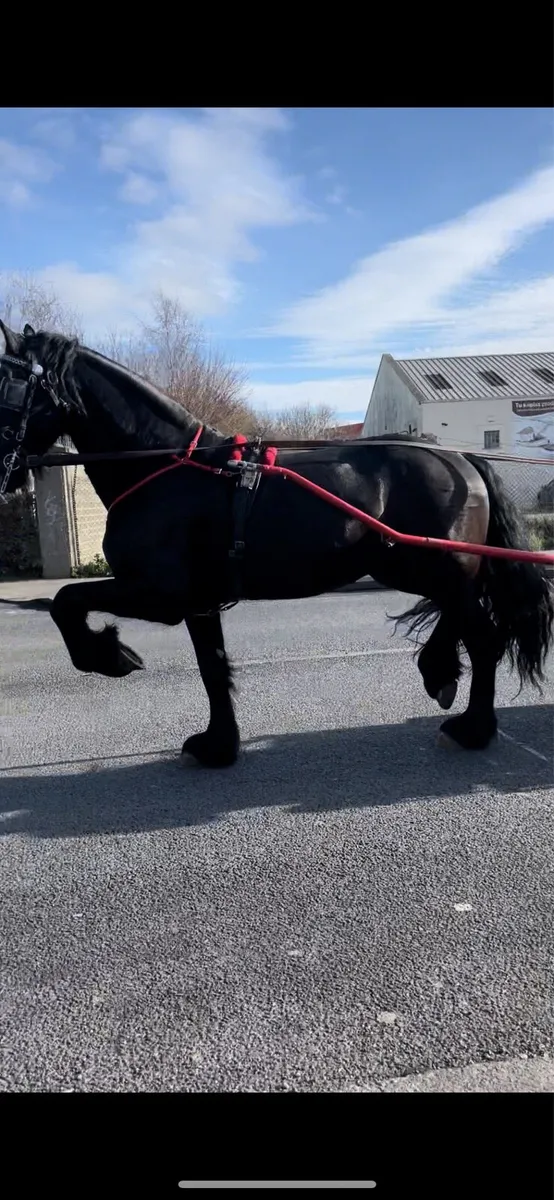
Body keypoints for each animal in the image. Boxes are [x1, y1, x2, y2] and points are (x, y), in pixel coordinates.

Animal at [1, 320, 552, 768]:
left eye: (8, 385)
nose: (4, 470)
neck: (166, 467)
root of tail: (459, 459)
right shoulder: (198, 602)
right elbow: (212, 666)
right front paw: (218, 745)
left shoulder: (160, 594)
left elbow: (65, 601)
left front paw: (109, 655)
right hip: (425, 570)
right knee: (463, 624)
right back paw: (439, 673)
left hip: (438, 568)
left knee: (483, 637)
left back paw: (471, 727)